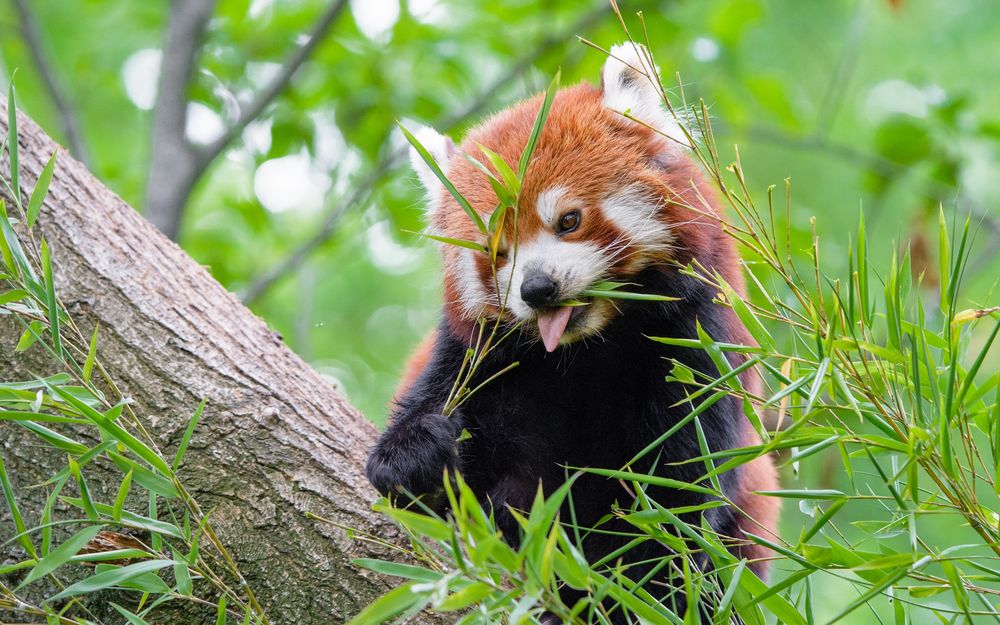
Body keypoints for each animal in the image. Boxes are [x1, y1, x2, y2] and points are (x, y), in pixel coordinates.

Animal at [368, 42, 780, 616]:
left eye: (568, 220)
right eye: (497, 251)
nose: (537, 289)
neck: (586, 350)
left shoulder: (694, 347)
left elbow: (675, 498)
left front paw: (642, 592)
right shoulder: (484, 362)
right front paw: (415, 457)